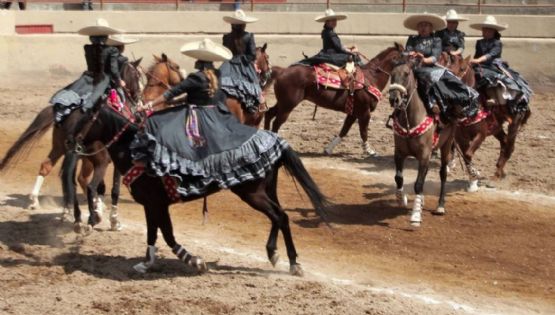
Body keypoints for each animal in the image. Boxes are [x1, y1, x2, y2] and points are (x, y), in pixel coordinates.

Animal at [0, 59, 143, 232]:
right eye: (138, 75)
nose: (139, 99)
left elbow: (98, 186)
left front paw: (97, 210)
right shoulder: (112, 161)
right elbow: (113, 189)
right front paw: (113, 220)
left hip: (61, 148)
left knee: (53, 169)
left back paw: (44, 204)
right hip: (94, 159)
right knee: (85, 182)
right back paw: (86, 216)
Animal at [67, 103, 332, 276]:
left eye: (85, 119)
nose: (69, 141)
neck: (135, 150)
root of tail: (276, 140)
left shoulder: (157, 204)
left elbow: (167, 234)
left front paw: (194, 261)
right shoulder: (150, 205)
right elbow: (153, 234)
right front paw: (147, 263)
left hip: (252, 193)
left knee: (280, 216)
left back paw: (293, 263)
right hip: (265, 190)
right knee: (279, 217)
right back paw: (275, 254)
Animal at [264, 43, 404, 157]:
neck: (371, 77)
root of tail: (283, 71)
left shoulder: (353, 113)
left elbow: (344, 130)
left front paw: (328, 149)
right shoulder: (364, 112)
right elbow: (363, 132)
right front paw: (370, 151)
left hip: (282, 103)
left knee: (269, 114)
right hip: (287, 105)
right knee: (276, 122)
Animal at [388, 55, 458, 227]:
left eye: (406, 74)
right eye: (391, 74)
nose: (394, 99)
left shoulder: (424, 155)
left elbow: (418, 184)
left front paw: (415, 216)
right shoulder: (399, 153)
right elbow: (398, 178)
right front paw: (402, 199)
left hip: (446, 145)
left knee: (443, 173)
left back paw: (440, 206)